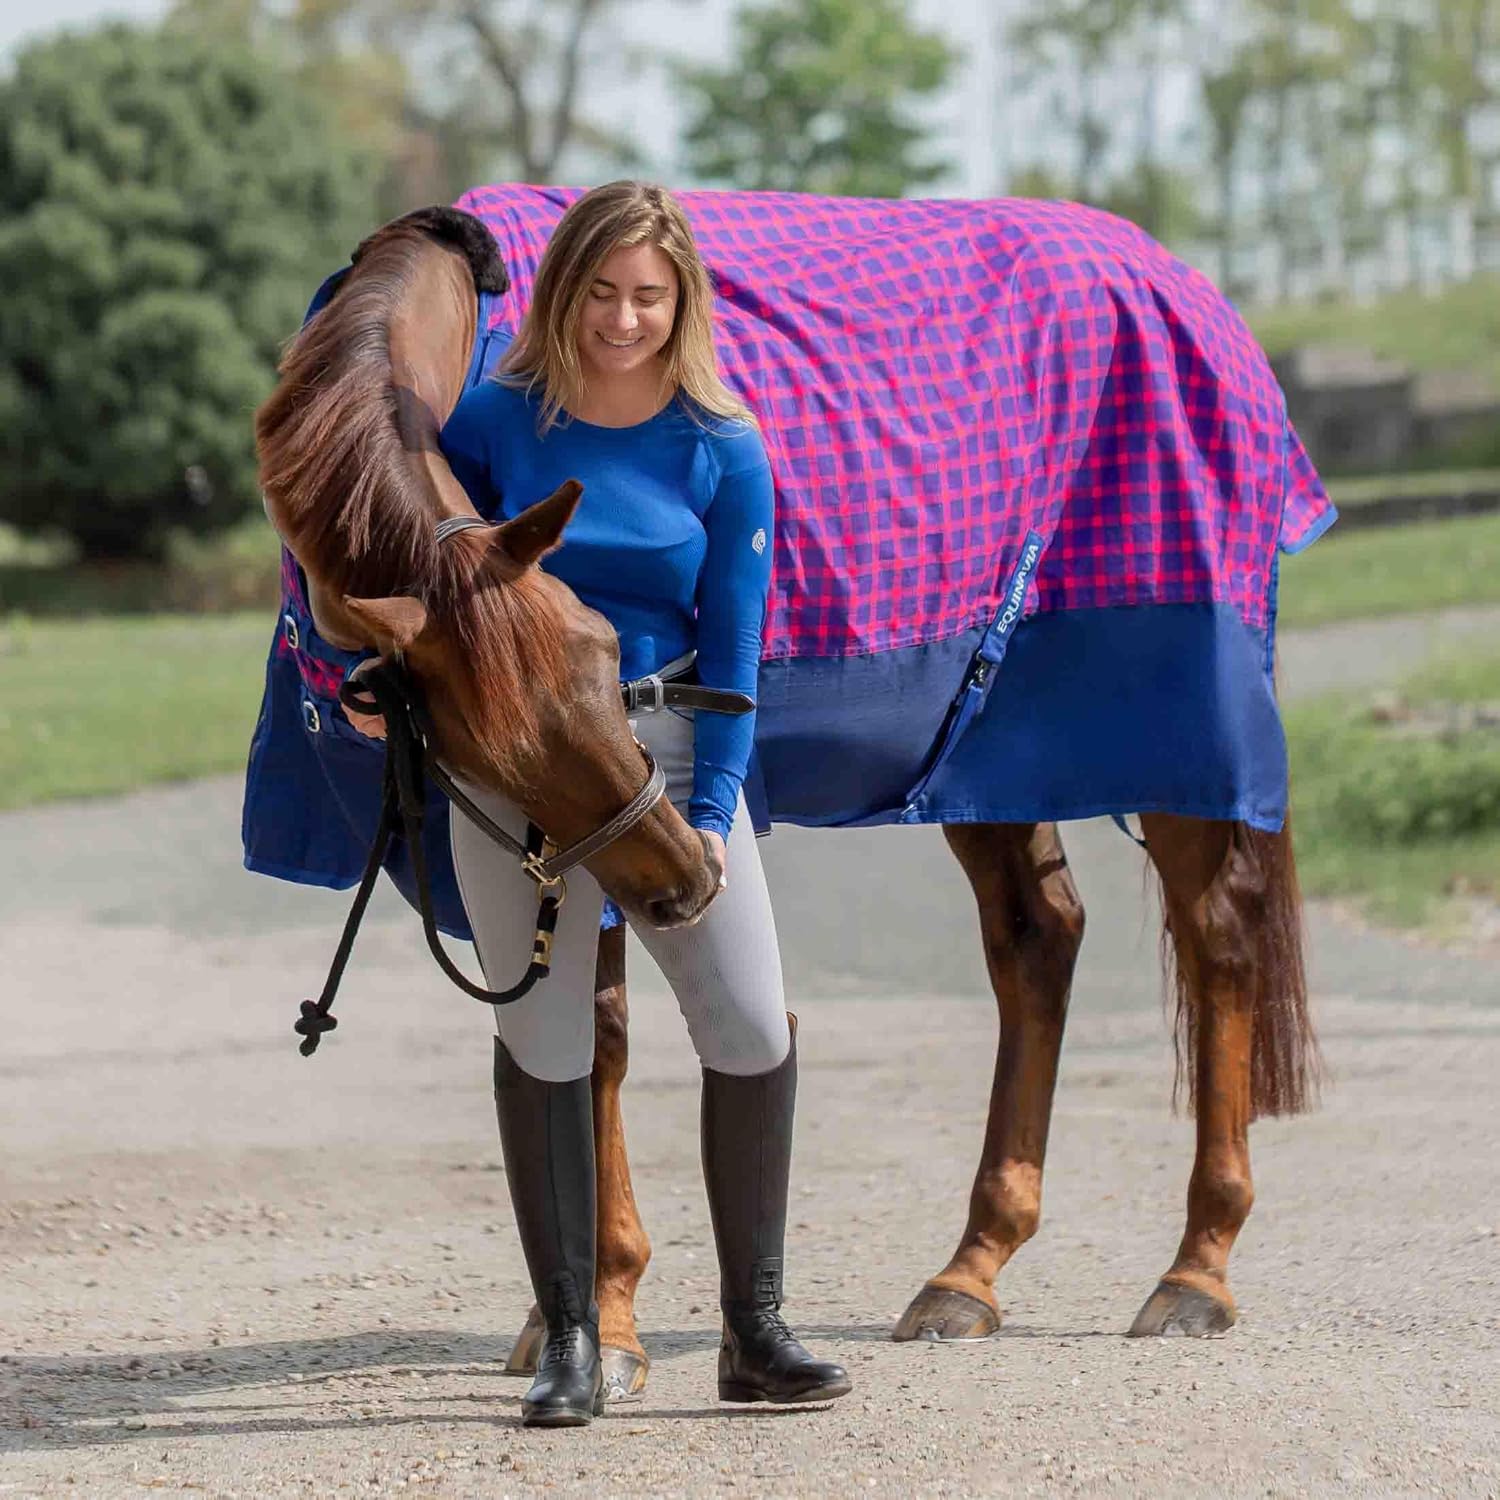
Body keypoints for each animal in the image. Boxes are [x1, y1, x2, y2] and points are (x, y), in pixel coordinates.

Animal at [247, 189, 1327, 1402]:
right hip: (980, 752)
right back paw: (971, 1269)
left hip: (1181, 736)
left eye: (608, 651)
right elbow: (578, 1040)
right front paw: (565, 1320)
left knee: (1219, 936)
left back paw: (1197, 1268)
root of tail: (1190, 291)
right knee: (1037, 937)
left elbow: (606, 1037)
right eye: (498, 753)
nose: (681, 879)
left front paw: (608, 1318)